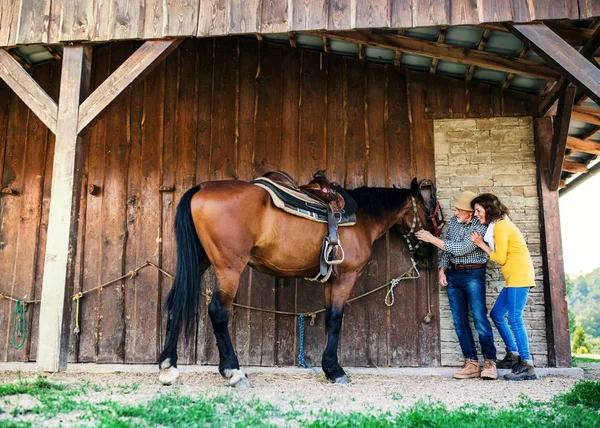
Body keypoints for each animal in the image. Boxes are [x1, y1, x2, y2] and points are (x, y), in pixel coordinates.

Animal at [158, 176, 432, 386]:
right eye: (430, 213)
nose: (428, 254)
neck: (362, 217)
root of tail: (202, 187)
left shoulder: (331, 280)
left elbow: (329, 319)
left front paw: (329, 368)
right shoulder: (346, 277)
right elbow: (336, 321)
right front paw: (336, 371)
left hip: (200, 260)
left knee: (176, 302)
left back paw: (167, 367)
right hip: (229, 267)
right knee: (218, 311)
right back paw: (233, 371)